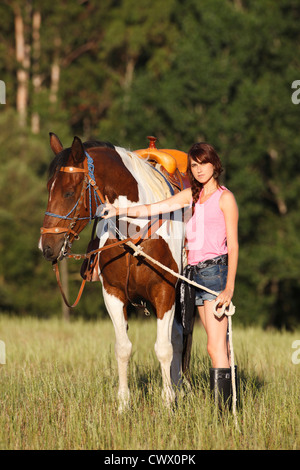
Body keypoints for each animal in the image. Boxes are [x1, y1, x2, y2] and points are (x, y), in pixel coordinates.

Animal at [39, 133, 190, 412]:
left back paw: (178, 390)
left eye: (68, 192)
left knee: (177, 339)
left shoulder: (164, 292)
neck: (136, 231)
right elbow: (123, 348)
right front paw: (123, 404)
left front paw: (167, 403)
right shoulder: (113, 294)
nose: (46, 247)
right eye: (48, 188)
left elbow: (164, 347)